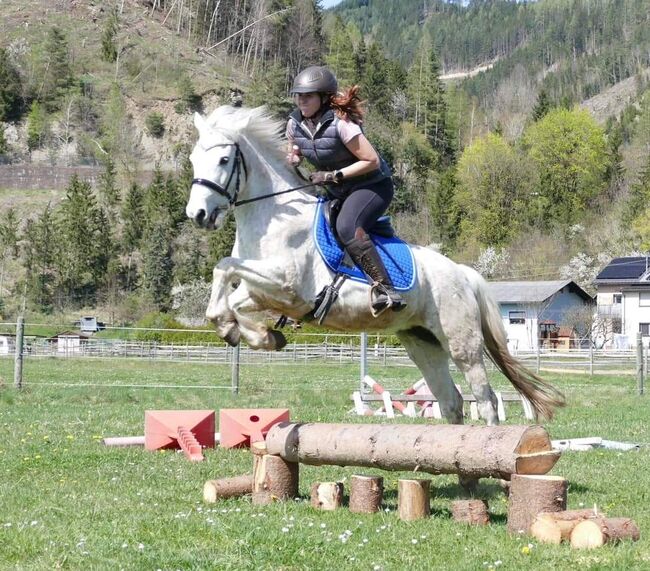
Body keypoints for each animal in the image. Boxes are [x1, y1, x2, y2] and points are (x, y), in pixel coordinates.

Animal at [184, 106, 560, 424]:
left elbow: (224, 266)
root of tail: (462, 273)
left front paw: (247, 331)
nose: (197, 215)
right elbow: (229, 295)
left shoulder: (287, 284)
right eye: (192, 159)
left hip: (461, 341)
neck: (273, 216)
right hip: (422, 342)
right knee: (450, 400)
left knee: (484, 398)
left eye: (224, 159)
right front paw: (253, 334)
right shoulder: (263, 292)